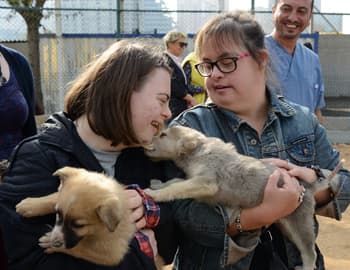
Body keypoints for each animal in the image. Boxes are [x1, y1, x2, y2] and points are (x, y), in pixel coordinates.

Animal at [144, 125, 340, 270]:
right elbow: (175, 181)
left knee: (309, 252)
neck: (199, 149)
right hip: (286, 224)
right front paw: (158, 184)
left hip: (300, 225)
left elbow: (176, 187)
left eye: (163, 135)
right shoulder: (193, 179)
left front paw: (155, 194)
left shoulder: (206, 182)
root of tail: (307, 186)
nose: (146, 142)